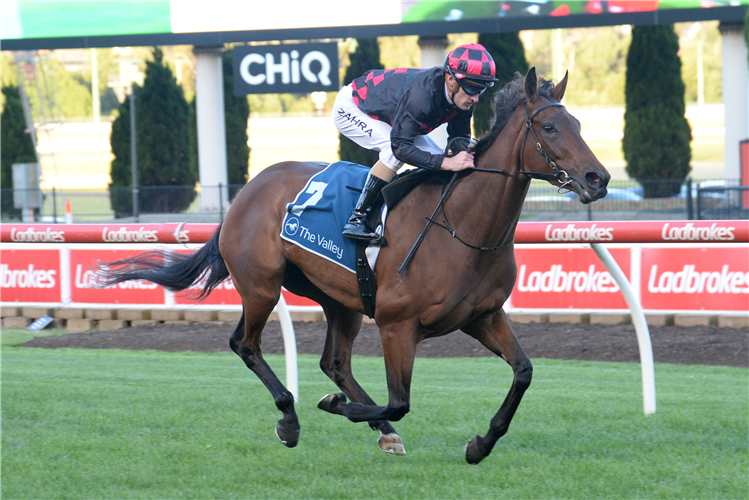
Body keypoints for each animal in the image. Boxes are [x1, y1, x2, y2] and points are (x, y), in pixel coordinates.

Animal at [98, 67, 608, 464]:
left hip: (340, 299)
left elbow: (523, 372)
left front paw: (480, 444)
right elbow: (400, 401)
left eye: (578, 122)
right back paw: (291, 417)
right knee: (245, 344)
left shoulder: (483, 316)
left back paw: (377, 431)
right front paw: (333, 407)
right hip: (262, 286)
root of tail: (247, 191)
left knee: (334, 362)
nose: (597, 178)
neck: (462, 225)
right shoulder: (398, 325)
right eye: (550, 128)